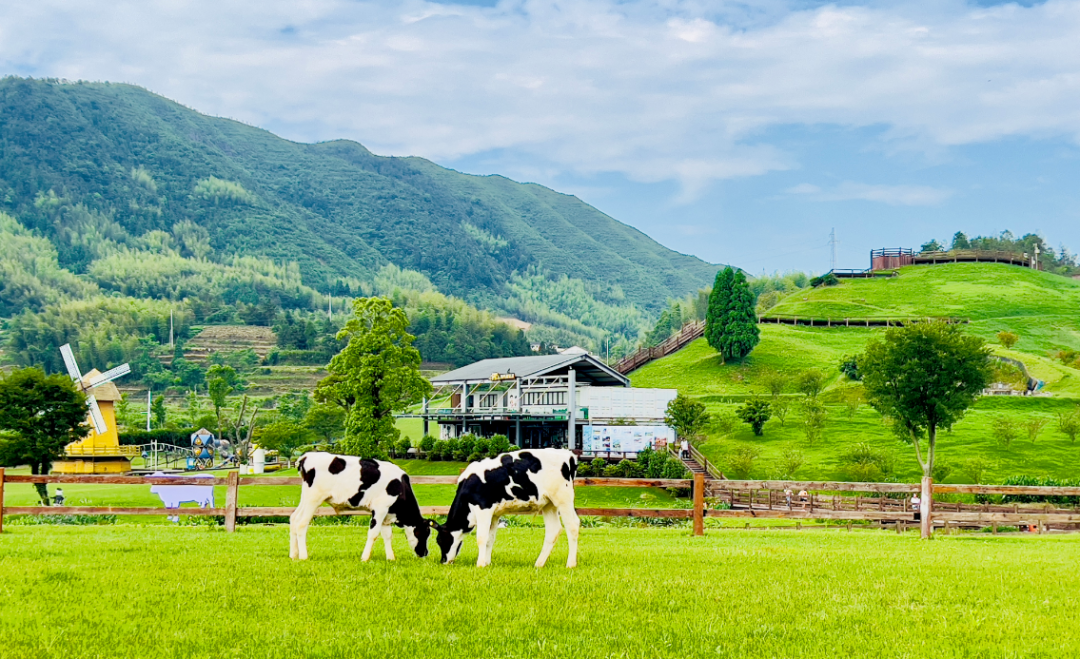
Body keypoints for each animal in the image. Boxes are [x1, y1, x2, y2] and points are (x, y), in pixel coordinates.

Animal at [293, 451, 432, 557]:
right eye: (424, 533)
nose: (425, 553)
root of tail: (306, 456)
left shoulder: (386, 514)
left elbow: (387, 535)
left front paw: (391, 558)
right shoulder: (380, 509)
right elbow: (373, 533)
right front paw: (365, 558)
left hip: (305, 499)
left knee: (294, 518)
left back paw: (293, 555)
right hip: (313, 499)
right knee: (301, 524)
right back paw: (303, 556)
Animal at [432, 449, 583, 566]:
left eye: (439, 540)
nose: (443, 561)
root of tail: (567, 454)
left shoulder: (483, 509)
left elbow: (481, 537)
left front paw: (480, 564)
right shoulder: (494, 514)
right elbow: (490, 539)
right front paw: (487, 563)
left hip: (563, 499)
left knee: (572, 525)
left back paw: (570, 564)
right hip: (548, 504)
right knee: (553, 530)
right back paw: (539, 564)